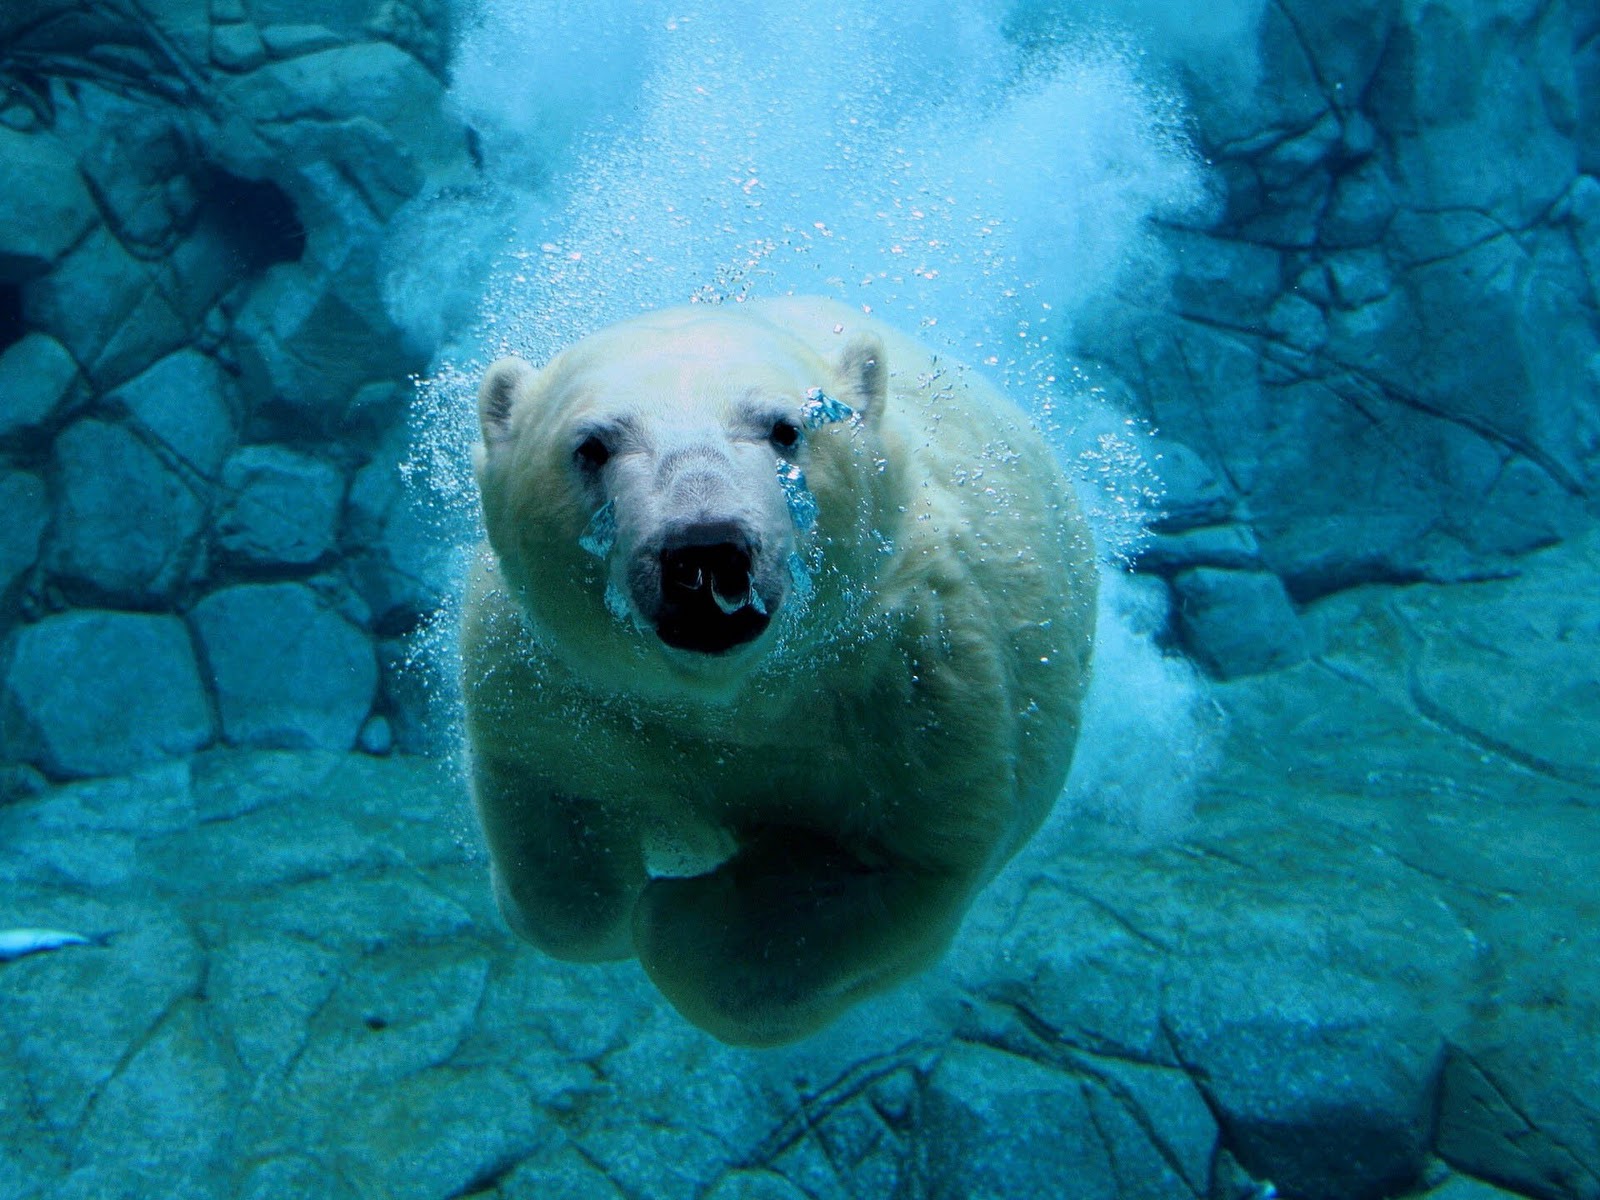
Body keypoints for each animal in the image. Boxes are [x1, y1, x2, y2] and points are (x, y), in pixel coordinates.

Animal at [463, 295, 1096, 1046]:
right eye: (591, 445)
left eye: (787, 429)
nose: (704, 551)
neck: (735, 696)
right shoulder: (555, 681)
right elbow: (553, 824)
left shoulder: (916, 689)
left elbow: (888, 869)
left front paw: (678, 913)